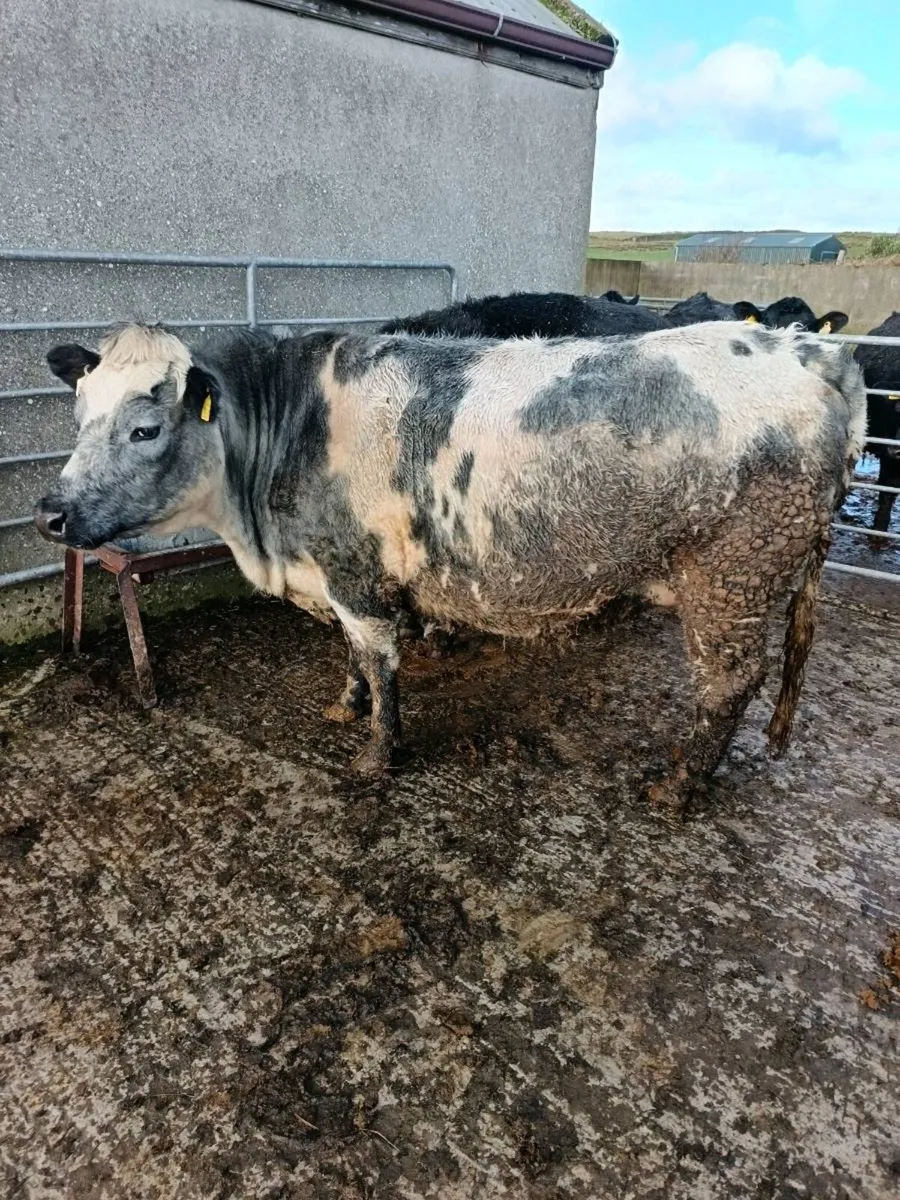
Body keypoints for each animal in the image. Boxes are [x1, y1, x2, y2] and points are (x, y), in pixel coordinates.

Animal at [35, 321, 865, 811]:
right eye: (78, 416)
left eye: (145, 428)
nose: (49, 512)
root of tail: (808, 349)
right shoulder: (340, 576)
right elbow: (350, 657)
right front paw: (345, 705)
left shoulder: (358, 577)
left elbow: (379, 664)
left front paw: (376, 754)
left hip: (733, 580)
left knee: (729, 683)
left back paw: (678, 783)